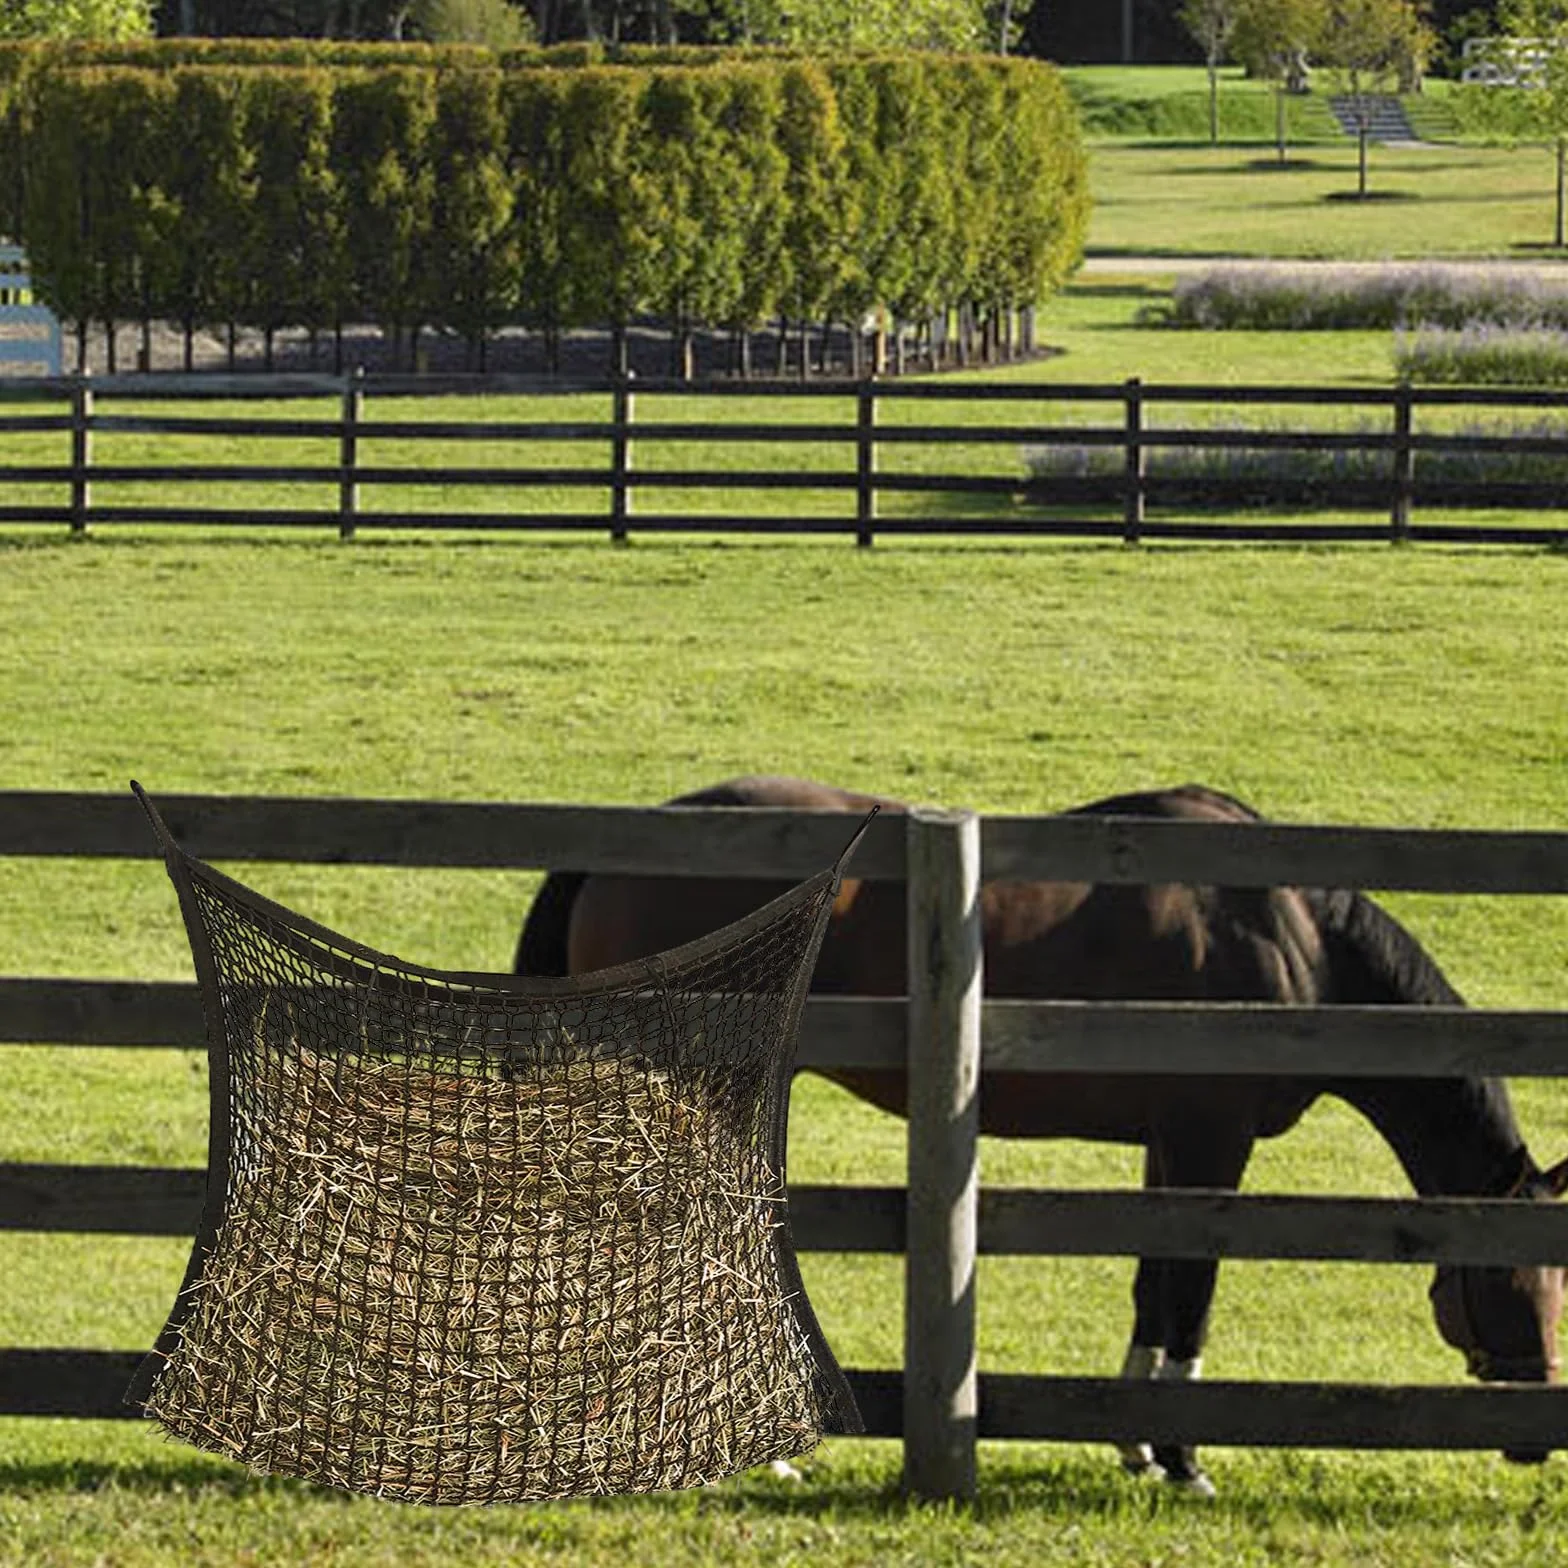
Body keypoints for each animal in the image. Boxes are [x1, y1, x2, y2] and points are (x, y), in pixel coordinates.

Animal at [515, 776, 1568, 1494]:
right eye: (1510, 1274)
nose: (1533, 1434)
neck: (1287, 934)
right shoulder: (1211, 1144)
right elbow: (1191, 1289)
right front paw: (1184, 1456)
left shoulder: (1169, 1147)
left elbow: (1154, 1282)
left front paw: (1141, 1443)